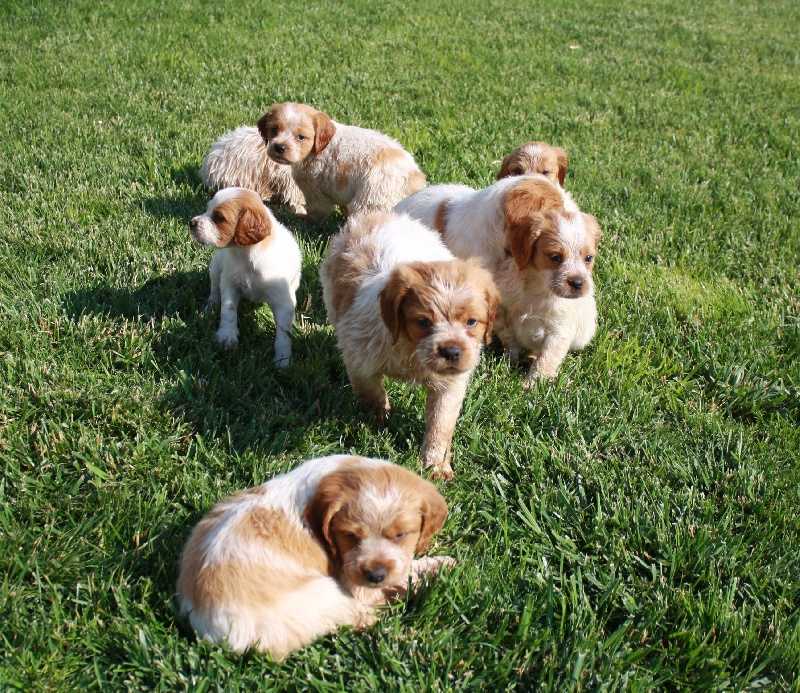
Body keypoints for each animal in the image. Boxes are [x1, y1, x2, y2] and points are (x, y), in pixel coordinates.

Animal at [176, 454, 454, 660]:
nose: (375, 575)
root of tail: (222, 637)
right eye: (350, 536)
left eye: (400, 535)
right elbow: (404, 577)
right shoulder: (355, 580)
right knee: (363, 617)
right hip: (330, 597)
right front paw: (441, 565)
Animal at [190, 184, 304, 368]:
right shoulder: (229, 283)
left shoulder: (282, 300)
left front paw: (283, 360)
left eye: (219, 217)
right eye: (207, 209)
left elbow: (283, 334)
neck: (246, 255)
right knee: (214, 291)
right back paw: (210, 308)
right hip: (215, 267)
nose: (191, 222)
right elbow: (228, 311)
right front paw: (227, 336)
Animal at [260, 101, 428, 224]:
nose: (279, 147)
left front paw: (304, 220)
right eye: (274, 129)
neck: (318, 149)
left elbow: (316, 212)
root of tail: (415, 176)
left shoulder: (314, 191)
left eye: (301, 137)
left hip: (368, 203)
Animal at [320, 214, 500, 478]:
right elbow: (372, 395)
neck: (410, 350)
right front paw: (378, 423)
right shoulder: (359, 362)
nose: (452, 351)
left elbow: (440, 424)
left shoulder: (451, 385)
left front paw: (436, 465)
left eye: (471, 322)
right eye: (423, 322)